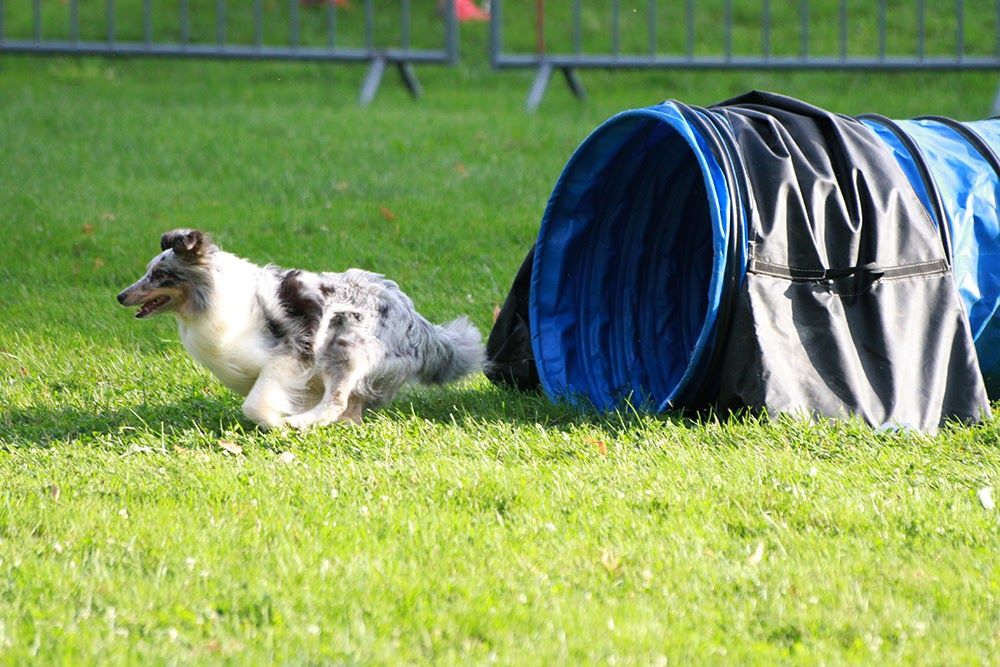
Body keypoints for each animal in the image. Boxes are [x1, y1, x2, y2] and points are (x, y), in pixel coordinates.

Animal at [117, 230, 484, 428]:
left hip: (345, 341)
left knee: (337, 400)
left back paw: (300, 423)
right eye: (149, 272)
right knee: (350, 408)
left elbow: (255, 403)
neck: (213, 296)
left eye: (160, 275)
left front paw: (276, 422)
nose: (120, 296)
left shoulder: (292, 355)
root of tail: (415, 322)